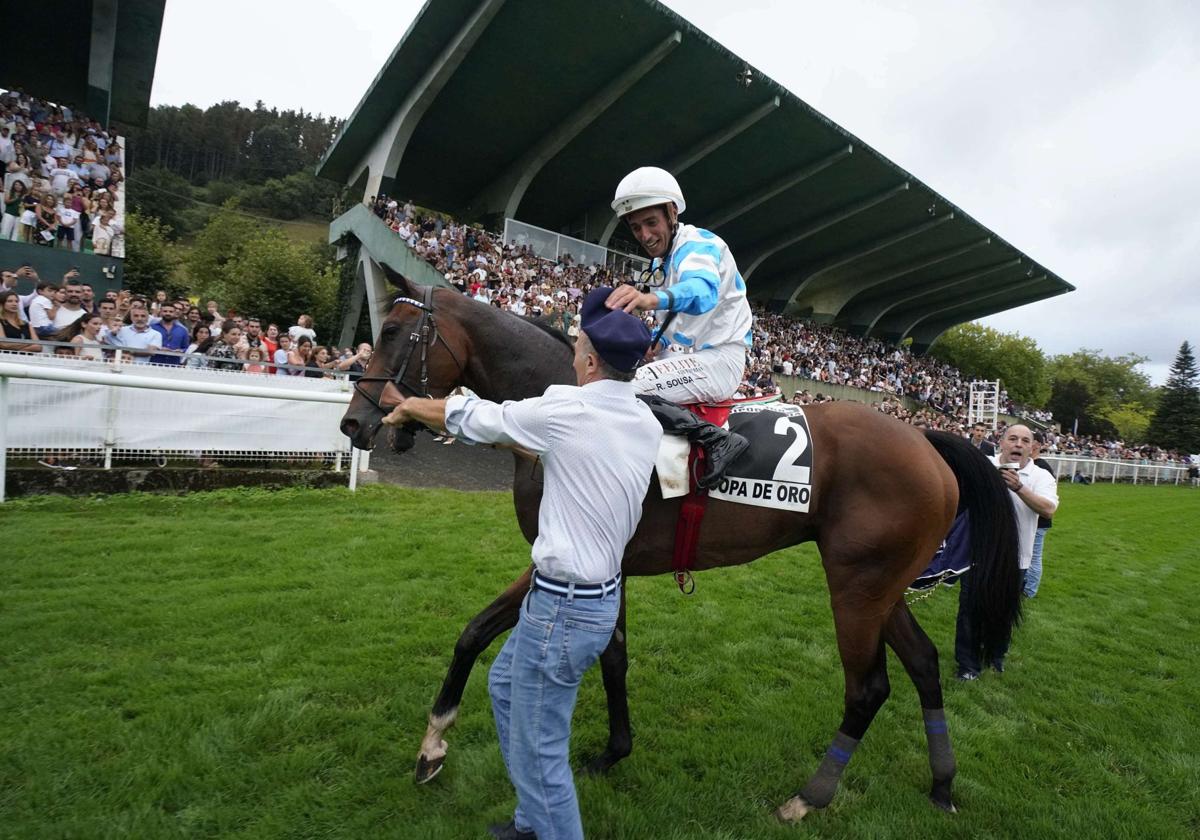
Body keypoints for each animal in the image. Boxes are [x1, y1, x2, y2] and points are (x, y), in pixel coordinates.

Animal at [340, 273, 1022, 820]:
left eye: (395, 330)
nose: (355, 422)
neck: (567, 401)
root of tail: (929, 441)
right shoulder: (606, 565)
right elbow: (597, 655)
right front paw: (612, 752)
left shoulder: (569, 554)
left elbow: (481, 633)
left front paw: (433, 744)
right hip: (883, 585)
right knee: (925, 663)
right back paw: (942, 784)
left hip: (855, 587)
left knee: (869, 687)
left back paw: (809, 796)